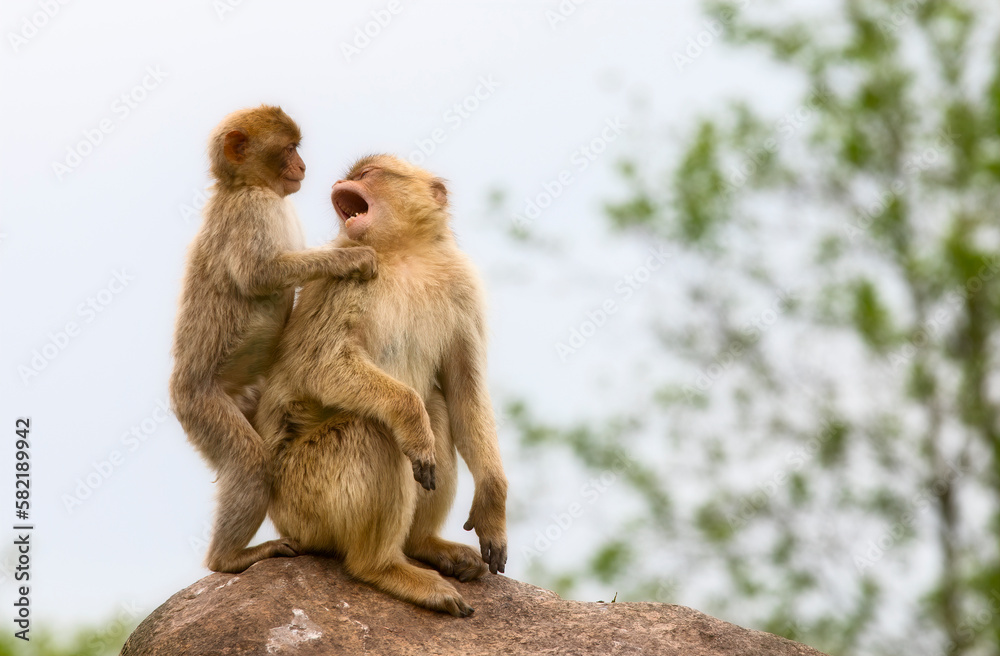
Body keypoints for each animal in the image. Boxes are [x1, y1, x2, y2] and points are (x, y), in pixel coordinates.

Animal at [170, 106, 376, 576]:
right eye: (289, 149)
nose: (303, 166)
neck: (247, 185)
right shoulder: (251, 210)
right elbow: (258, 274)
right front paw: (349, 259)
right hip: (201, 406)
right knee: (250, 462)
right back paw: (227, 558)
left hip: (245, 396)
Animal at [258, 154, 508, 616]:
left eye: (367, 174)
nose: (339, 183)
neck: (404, 253)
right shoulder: (345, 270)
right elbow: (318, 364)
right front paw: (410, 419)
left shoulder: (462, 285)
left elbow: (464, 391)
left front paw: (492, 503)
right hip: (302, 501)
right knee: (375, 430)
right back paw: (382, 567)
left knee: (437, 408)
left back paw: (423, 544)